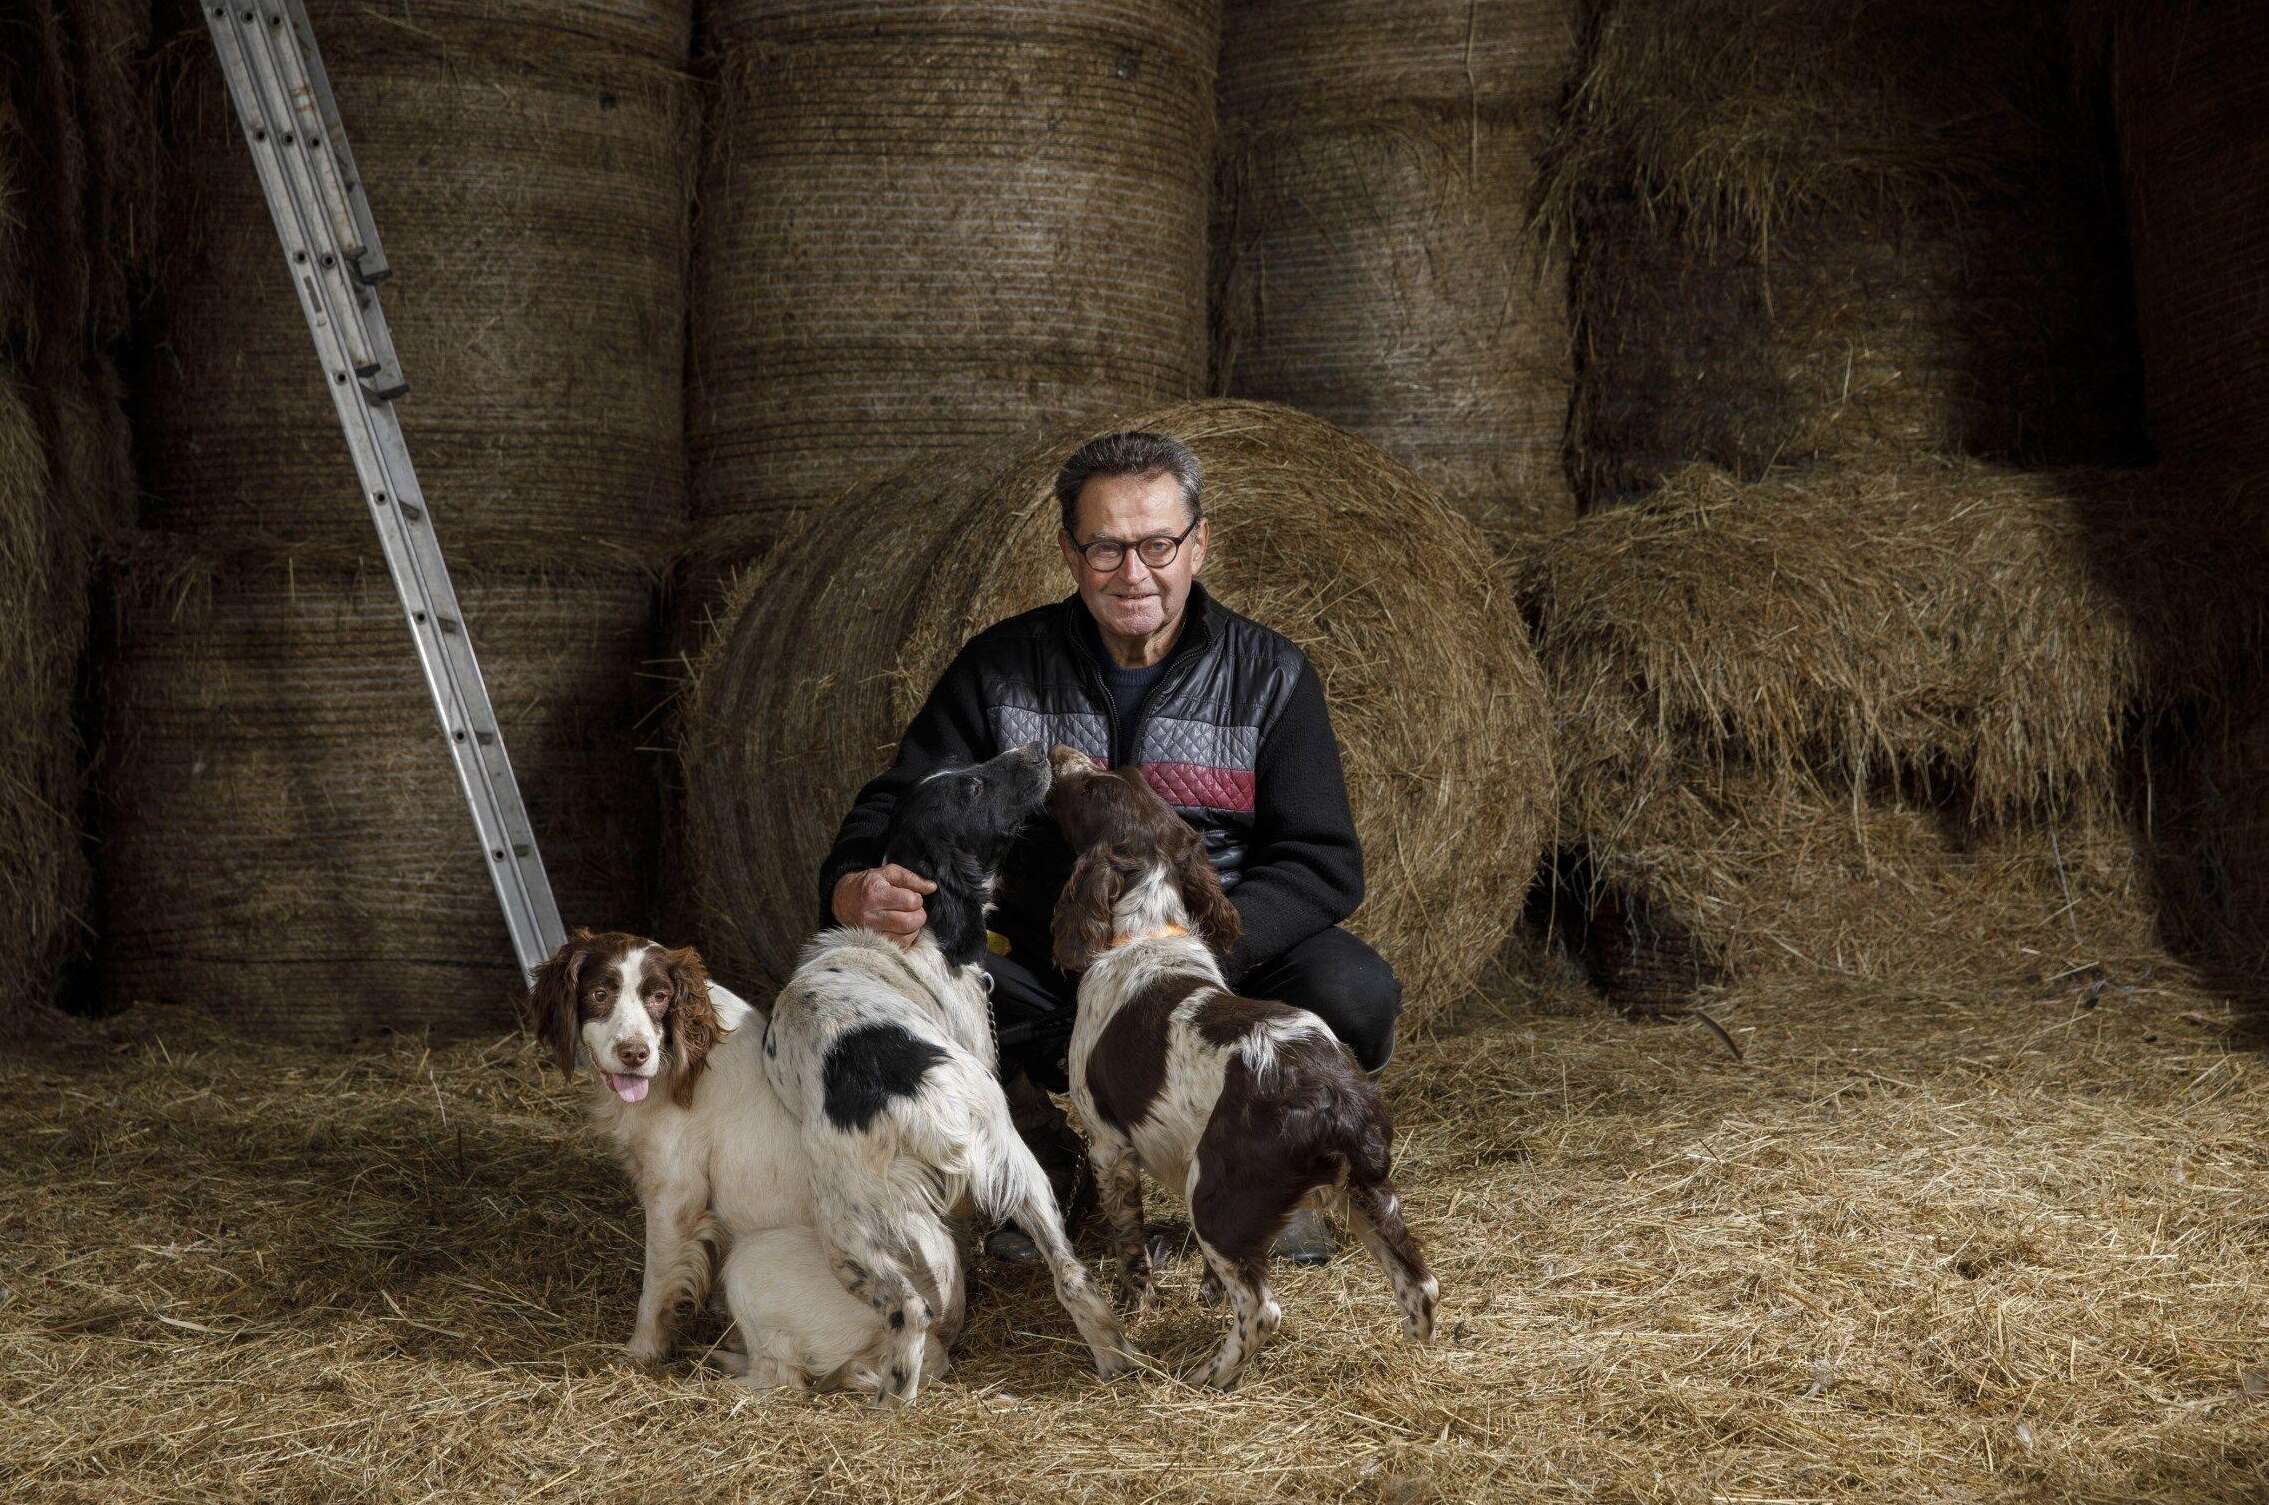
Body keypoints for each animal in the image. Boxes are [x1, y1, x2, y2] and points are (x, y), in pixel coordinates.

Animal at [526, 930, 943, 1398]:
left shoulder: (675, 1197)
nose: (635, 1053)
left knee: (781, 1379)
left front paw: (641, 1352)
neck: (680, 1059)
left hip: (753, 1258)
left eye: (659, 996)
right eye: (600, 994)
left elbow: (656, 1288)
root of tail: (938, 1344)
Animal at [762, 749, 1134, 1407]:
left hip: (853, 1234)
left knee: (911, 1308)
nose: (1036, 750)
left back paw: (892, 1400)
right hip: (1015, 1171)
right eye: (974, 787)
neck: (920, 931)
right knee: (1066, 1274)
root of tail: (921, 1100)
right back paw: (1111, 1357)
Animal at [1043, 749, 1434, 1398]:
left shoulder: (1108, 1144)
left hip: (1217, 1193)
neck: (1149, 931)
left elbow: (1130, 1246)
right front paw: (1201, 1295)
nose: (1058, 756)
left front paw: (1136, 1310)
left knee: (1263, 1309)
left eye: (1095, 789)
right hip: (1369, 1192)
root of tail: (1336, 1100)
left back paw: (1209, 1375)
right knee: (1420, 1285)